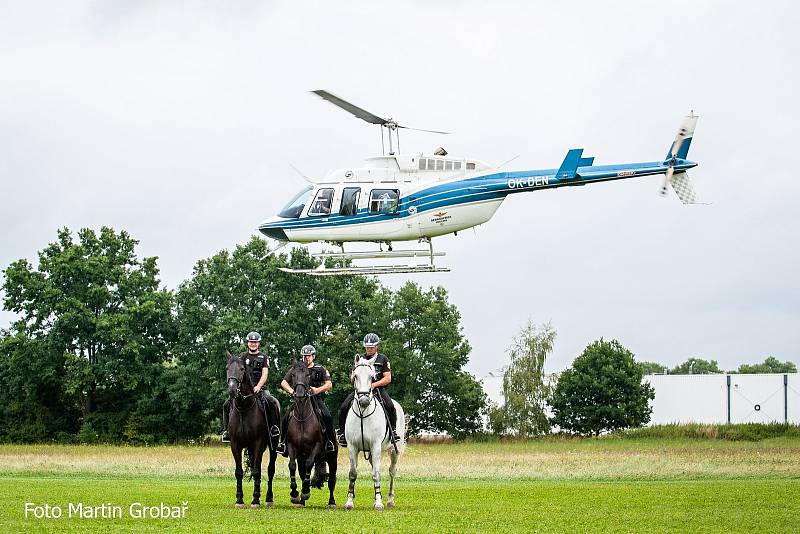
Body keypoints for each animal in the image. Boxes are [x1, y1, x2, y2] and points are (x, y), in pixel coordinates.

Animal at [225, 354, 278, 508]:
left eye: (242, 369)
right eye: (227, 368)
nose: (232, 390)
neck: (244, 407)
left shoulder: (258, 443)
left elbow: (256, 471)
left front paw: (255, 500)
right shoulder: (235, 444)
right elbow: (239, 472)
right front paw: (239, 500)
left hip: (273, 446)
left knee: (270, 470)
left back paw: (268, 498)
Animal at [344, 358, 406, 512]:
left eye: (372, 377)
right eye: (355, 376)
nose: (364, 401)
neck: (363, 414)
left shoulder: (375, 446)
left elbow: (376, 474)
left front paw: (379, 503)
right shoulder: (352, 447)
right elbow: (353, 473)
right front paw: (349, 502)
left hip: (394, 451)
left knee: (392, 471)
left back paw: (389, 500)